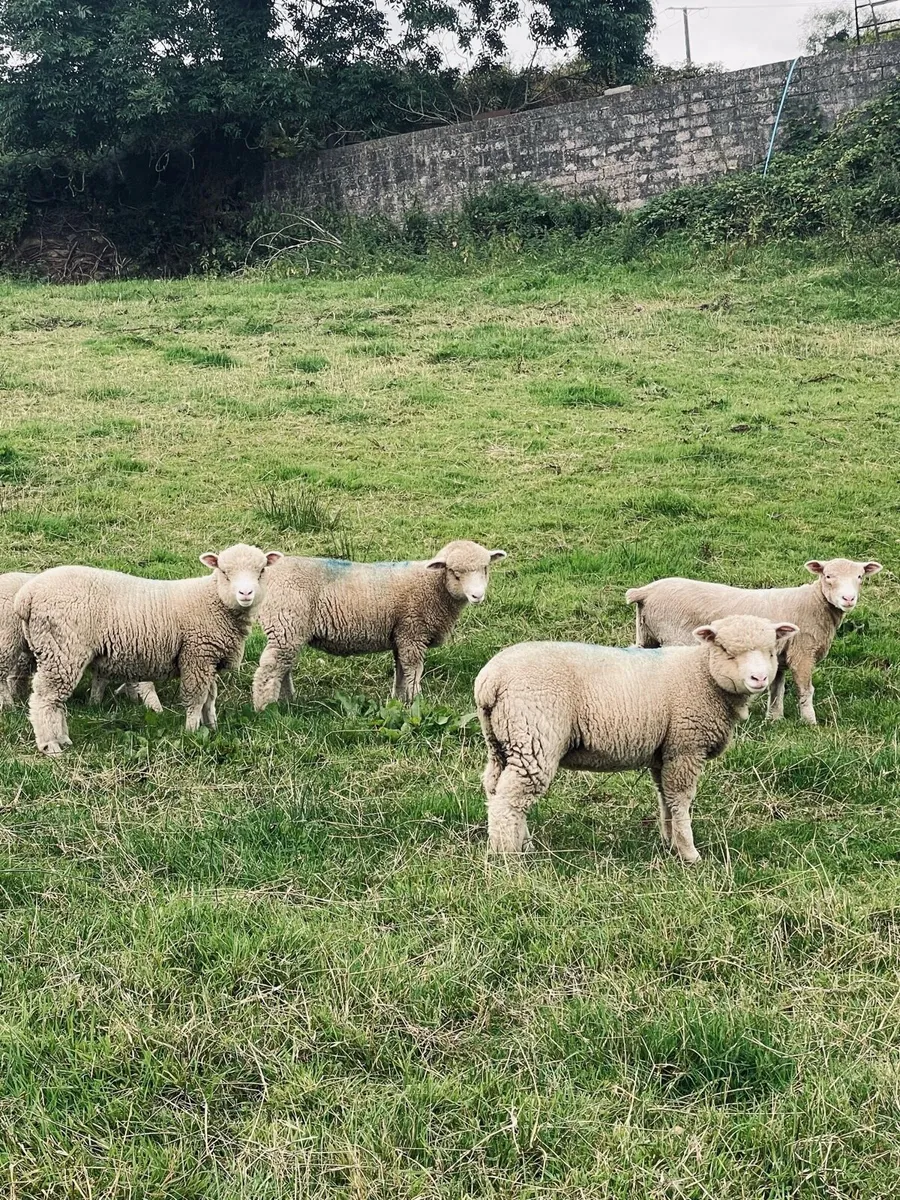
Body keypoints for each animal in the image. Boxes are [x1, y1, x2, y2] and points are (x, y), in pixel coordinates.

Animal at [1, 570, 162, 714]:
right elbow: (144, 683)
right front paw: (156, 710)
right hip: (8, 639)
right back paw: (10, 706)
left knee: (18, 671)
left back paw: (17, 695)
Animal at [253, 540, 507, 710]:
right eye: (455, 572)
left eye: (485, 568)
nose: (477, 595)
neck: (433, 585)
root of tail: (268, 571)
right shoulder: (413, 632)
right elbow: (413, 670)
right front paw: (415, 700)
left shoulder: (401, 635)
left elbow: (401, 670)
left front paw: (399, 699)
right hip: (286, 623)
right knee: (268, 670)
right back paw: (266, 709)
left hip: (289, 631)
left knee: (282, 666)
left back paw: (286, 700)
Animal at [475, 615, 799, 861]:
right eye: (727, 651)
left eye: (771, 652)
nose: (759, 678)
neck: (703, 675)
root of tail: (490, 680)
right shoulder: (686, 747)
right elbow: (681, 799)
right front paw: (689, 853)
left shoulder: (665, 752)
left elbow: (665, 797)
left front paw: (670, 842)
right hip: (535, 736)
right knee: (510, 799)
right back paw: (507, 854)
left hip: (502, 741)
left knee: (495, 788)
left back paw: (522, 843)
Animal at [625, 558, 882, 725]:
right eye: (828, 576)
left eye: (860, 577)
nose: (848, 598)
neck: (814, 603)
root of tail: (645, 591)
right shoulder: (802, 653)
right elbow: (805, 689)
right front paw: (810, 722)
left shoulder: (779, 655)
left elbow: (777, 688)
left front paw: (774, 719)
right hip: (674, 637)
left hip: (647, 634)